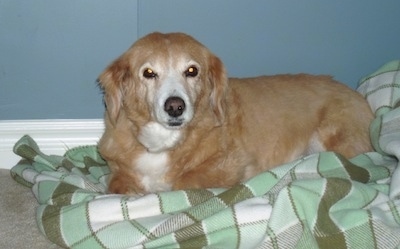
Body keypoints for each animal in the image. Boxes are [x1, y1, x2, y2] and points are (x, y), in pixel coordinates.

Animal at [97, 31, 376, 195]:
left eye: (191, 71)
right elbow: (116, 185)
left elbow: (182, 181)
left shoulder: (232, 165)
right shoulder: (118, 170)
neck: (165, 142)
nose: (175, 106)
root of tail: (358, 95)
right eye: (148, 73)